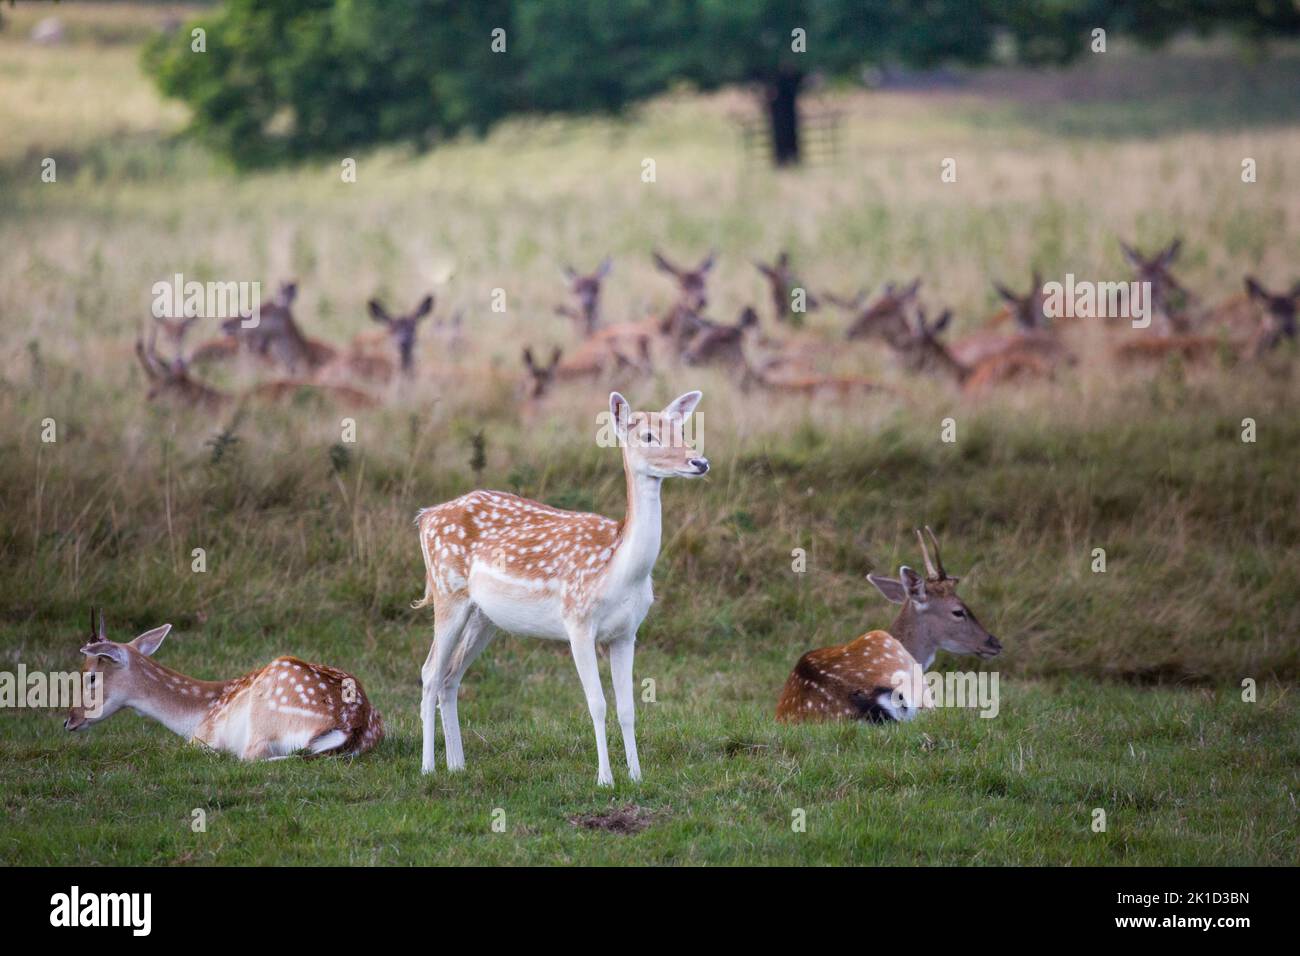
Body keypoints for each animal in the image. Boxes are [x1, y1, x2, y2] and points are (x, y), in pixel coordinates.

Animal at [65, 608, 379, 759]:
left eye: (90, 675)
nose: (69, 720)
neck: (197, 715)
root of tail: (352, 726)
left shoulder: (200, 738)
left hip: (264, 722)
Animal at [413, 390, 712, 785]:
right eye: (648, 436)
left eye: (682, 431)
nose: (700, 461)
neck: (618, 570)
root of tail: (425, 517)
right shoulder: (578, 621)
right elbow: (597, 703)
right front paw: (605, 779)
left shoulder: (627, 632)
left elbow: (628, 707)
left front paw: (636, 775)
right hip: (448, 591)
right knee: (430, 673)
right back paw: (428, 767)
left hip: (484, 617)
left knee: (450, 676)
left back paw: (457, 764)